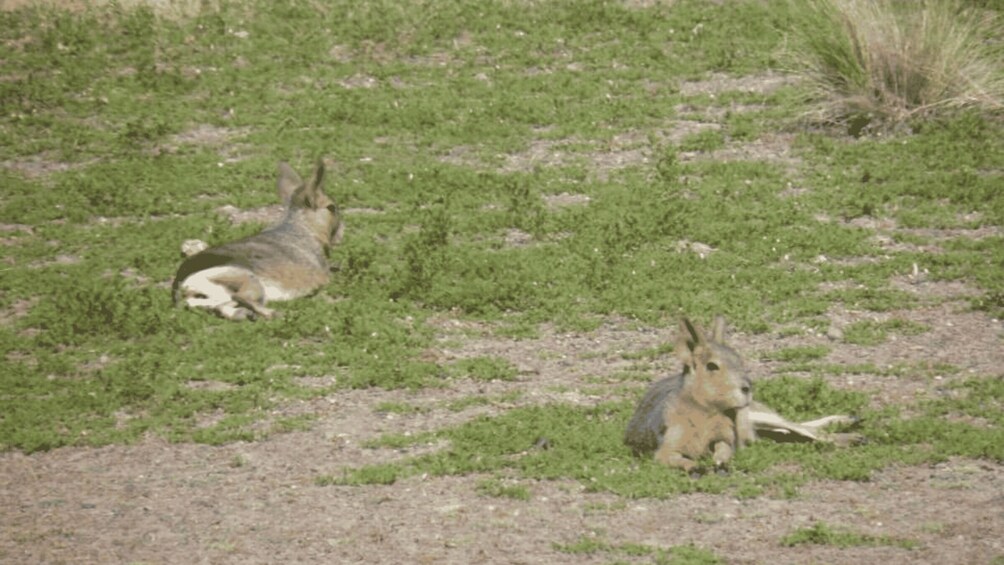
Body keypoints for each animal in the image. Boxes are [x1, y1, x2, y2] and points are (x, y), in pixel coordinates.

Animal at [172, 159, 344, 321]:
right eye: (331, 208)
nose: (341, 230)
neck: (303, 228)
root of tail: (182, 285)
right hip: (248, 279)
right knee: (240, 297)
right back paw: (274, 313)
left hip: (215, 296)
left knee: (221, 307)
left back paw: (244, 314)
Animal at [625, 316, 859, 473]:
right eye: (712, 366)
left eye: (738, 359)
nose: (747, 388)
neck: (703, 410)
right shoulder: (664, 447)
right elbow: (674, 458)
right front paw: (695, 467)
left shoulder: (725, 437)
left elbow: (723, 448)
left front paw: (721, 462)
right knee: (789, 431)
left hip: (756, 414)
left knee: (799, 427)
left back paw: (850, 429)